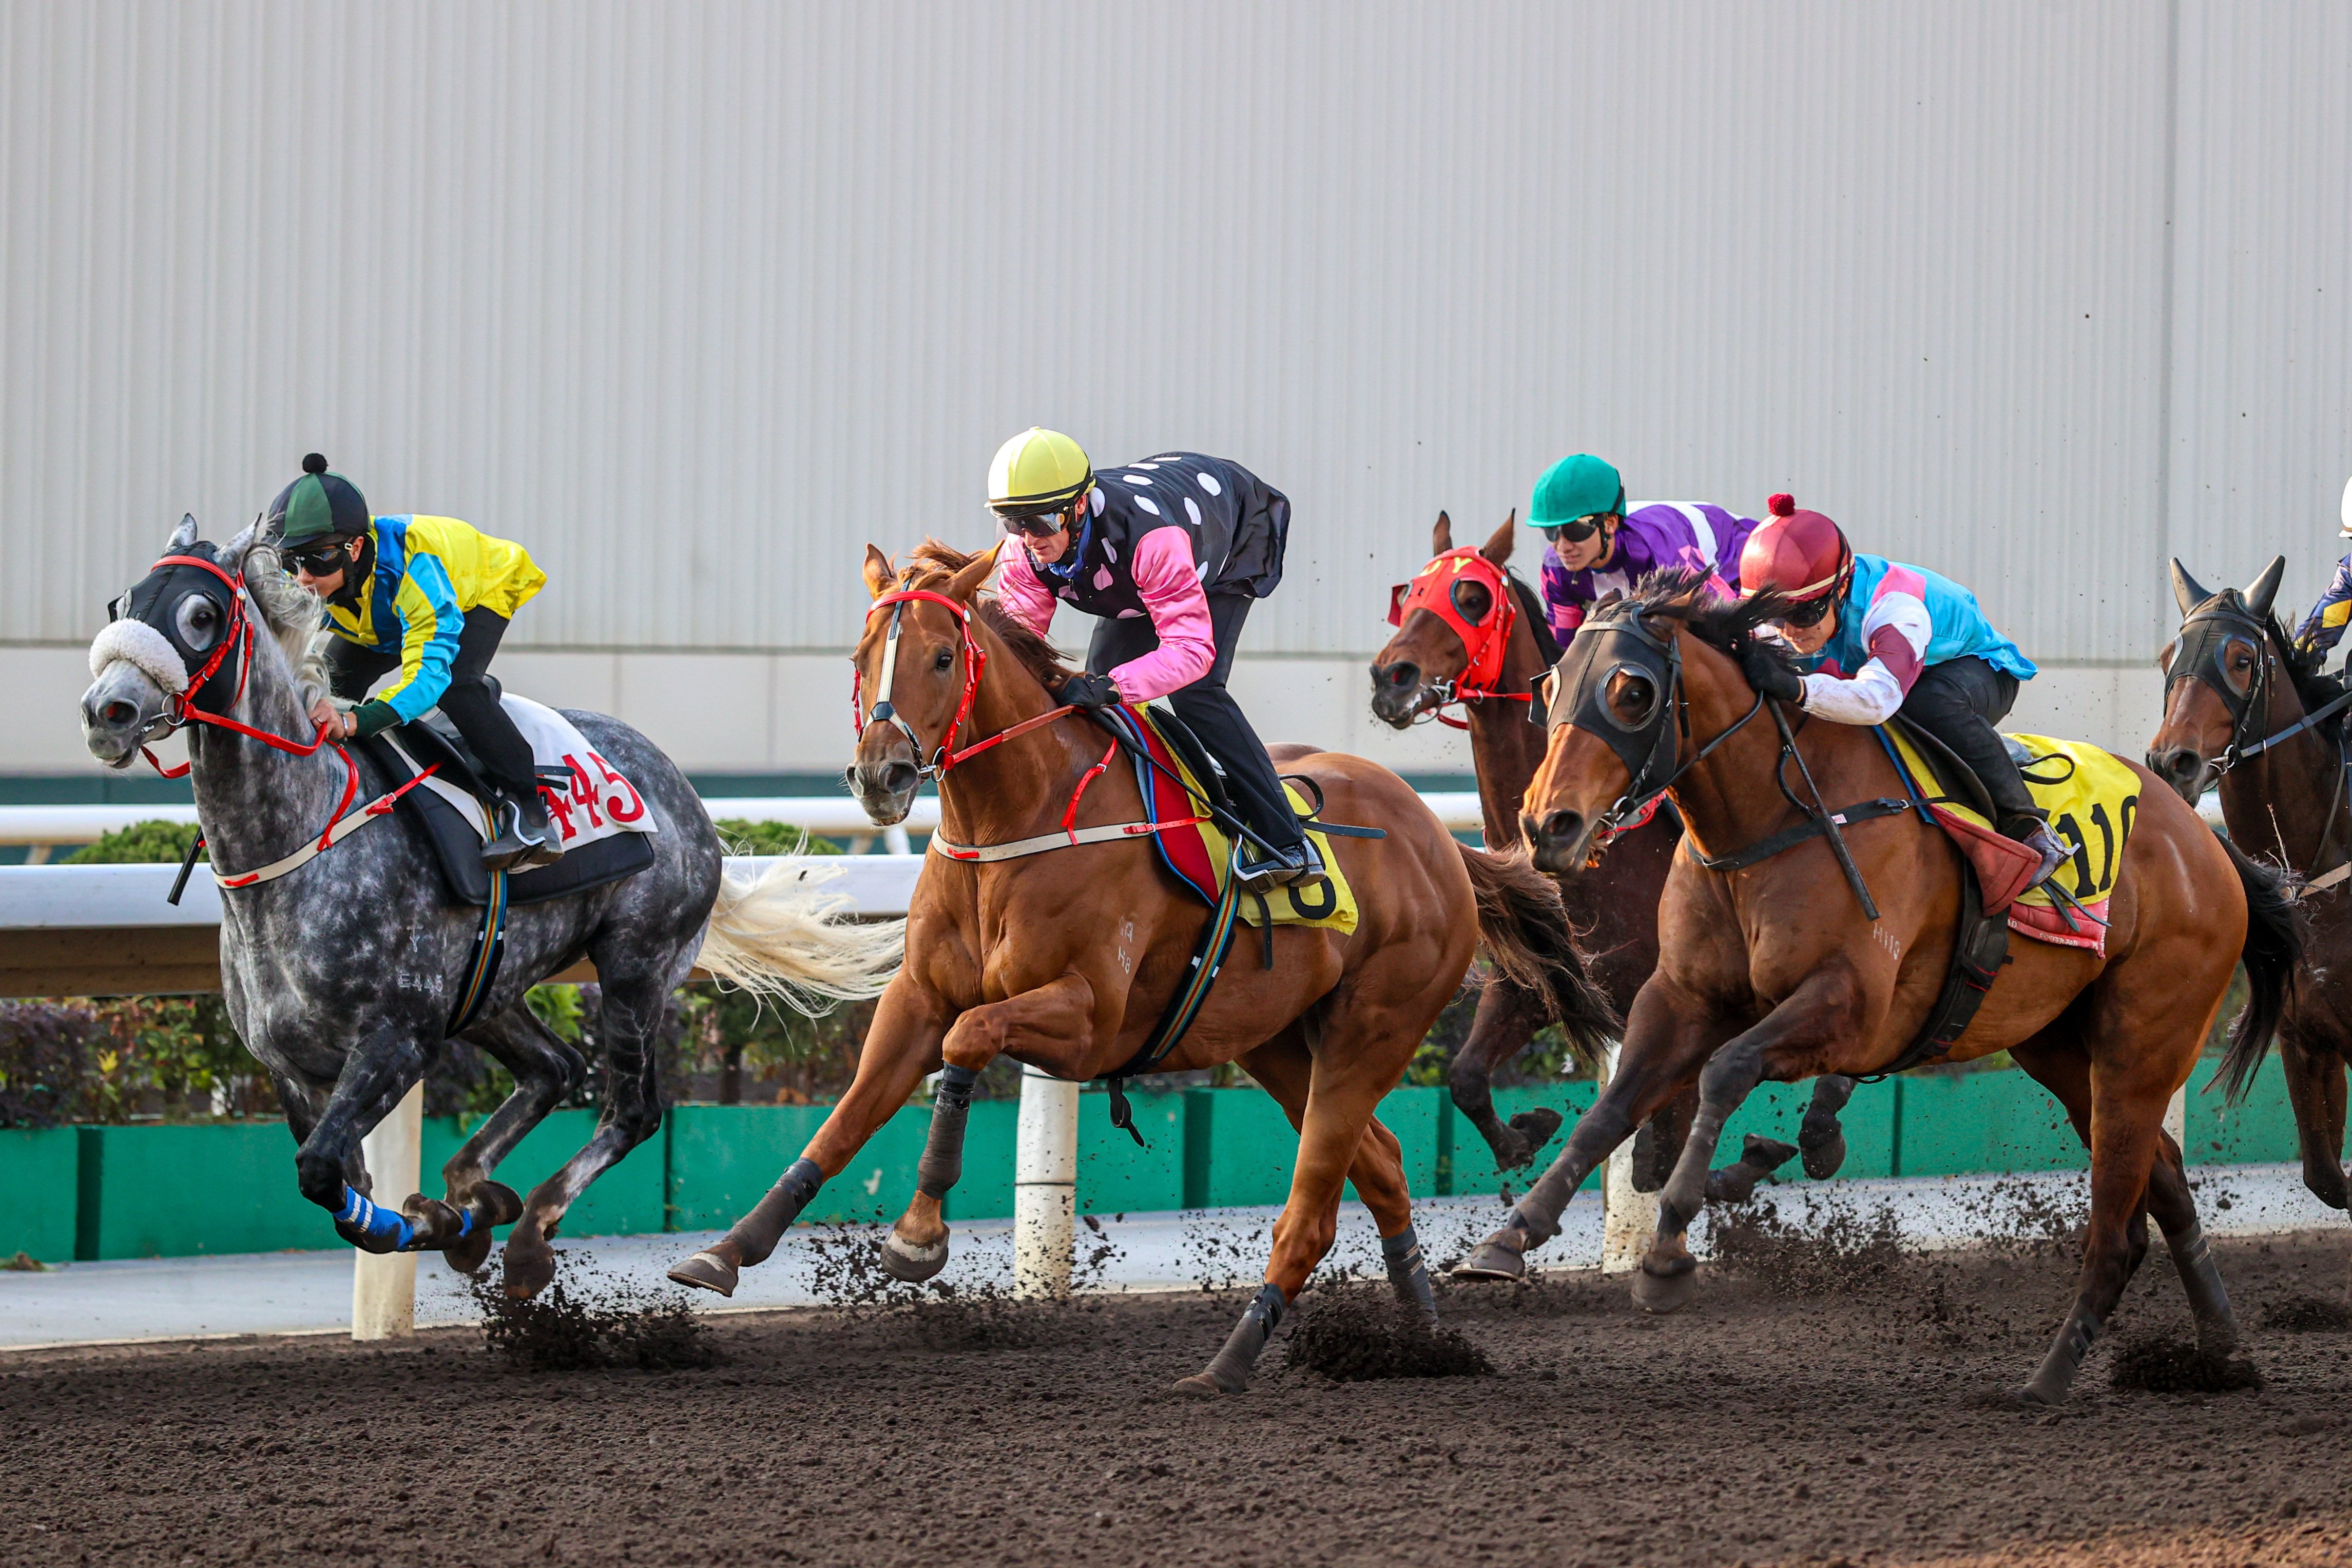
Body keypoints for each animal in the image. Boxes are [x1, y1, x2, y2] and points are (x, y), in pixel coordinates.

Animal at [75, 521, 898, 1298]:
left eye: (202, 614)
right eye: (123, 603)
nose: (106, 710)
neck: (300, 845)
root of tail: (684, 794)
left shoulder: (399, 1039)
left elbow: (322, 1173)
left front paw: (444, 1219)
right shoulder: (290, 1067)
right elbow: (342, 1193)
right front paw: (449, 1218)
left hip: (636, 962)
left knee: (631, 1108)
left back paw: (529, 1234)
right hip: (490, 986)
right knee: (555, 1067)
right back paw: (478, 1190)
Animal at [663, 543, 1618, 1401]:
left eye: (941, 656)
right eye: (862, 656)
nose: (881, 774)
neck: (1017, 820)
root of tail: (1443, 844)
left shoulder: (1087, 1021)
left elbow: (970, 1040)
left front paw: (919, 1233)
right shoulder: (916, 997)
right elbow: (844, 1120)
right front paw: (725, 1251)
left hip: (1372, 1029)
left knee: (1313, 1210)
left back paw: (1228, 1363)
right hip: (1275, 1038)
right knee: (1380, 1162)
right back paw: (1421, 1336)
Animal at [1364, 515, 1853, 1189]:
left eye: (1471, 598)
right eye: (1410, 592)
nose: (1392, 678)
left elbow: (1660, 1154)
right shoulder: (1536, 982)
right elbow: (1465, 1078)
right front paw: (1525, 1133)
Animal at [1458, 571, 2286, 1401]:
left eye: (1632, 691)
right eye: (1550, 685)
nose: (1548, 826)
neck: (1768, 822)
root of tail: (2204, 843)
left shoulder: (1852, 1009)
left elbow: (1725, 1071)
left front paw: (1666, 1250)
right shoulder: (1679, 998)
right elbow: (1608, 1113)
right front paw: (1506, 1237)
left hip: (2141, 1047)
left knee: (2118, 1229)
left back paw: (2047, 1380)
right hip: (2059, 1047)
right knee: (2166, 1182)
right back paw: (2221, 1349)